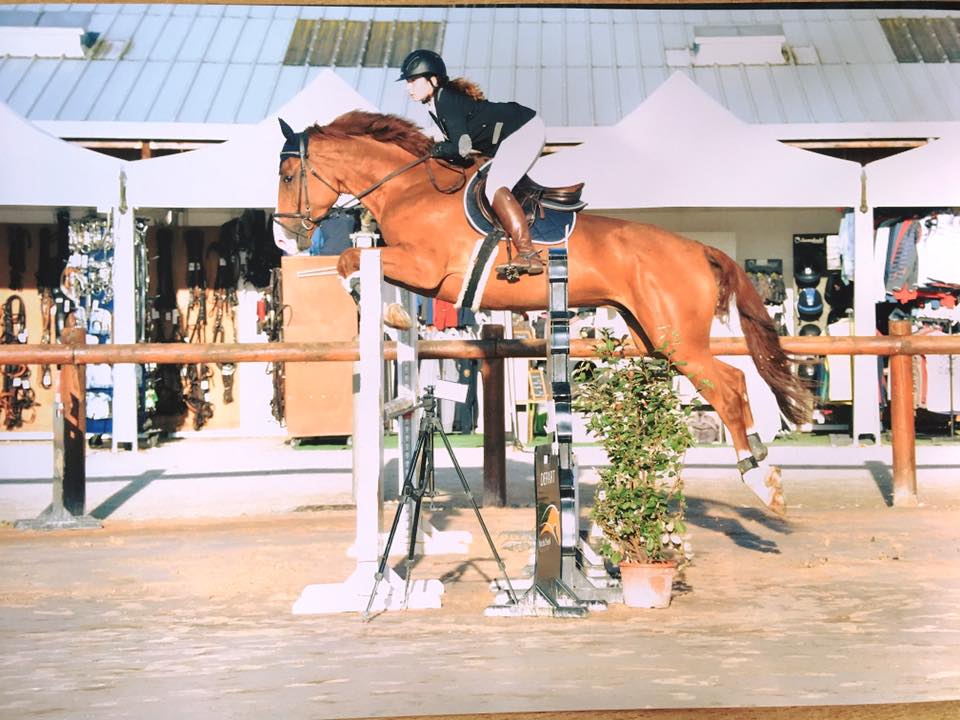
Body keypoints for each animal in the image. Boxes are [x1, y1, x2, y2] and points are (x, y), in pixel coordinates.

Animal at [273, 110, 811, 517]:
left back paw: (759, 478)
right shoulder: (416, 272)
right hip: (653, 338)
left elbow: (349, 259)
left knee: (729, 385)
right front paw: (394, 313)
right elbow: (362, 266)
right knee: (731, 383)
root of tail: (699, 248)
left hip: (676, 338)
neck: (410, 189)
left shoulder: (426, 268)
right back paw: (760, 461)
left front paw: (381, 305)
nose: (285, 235)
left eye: (288, 175)